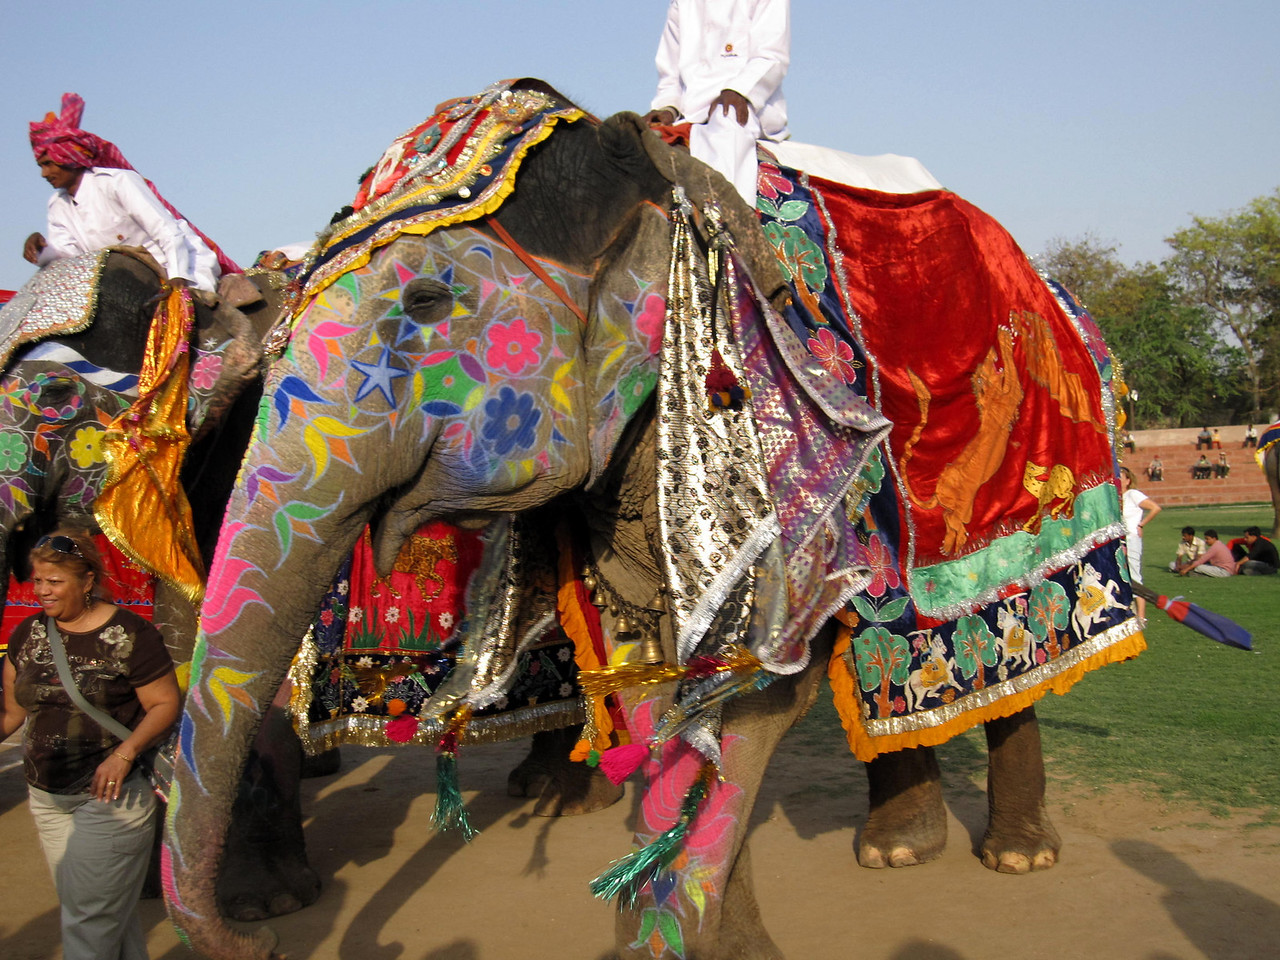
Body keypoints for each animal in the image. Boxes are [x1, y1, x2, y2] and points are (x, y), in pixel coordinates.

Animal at [162, 81, 1135, 959]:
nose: (262, 942)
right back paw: (899, 848)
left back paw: (1015, 857)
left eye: (427, 302)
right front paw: (724, 941)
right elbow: (652, 691)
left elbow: (755, 692)